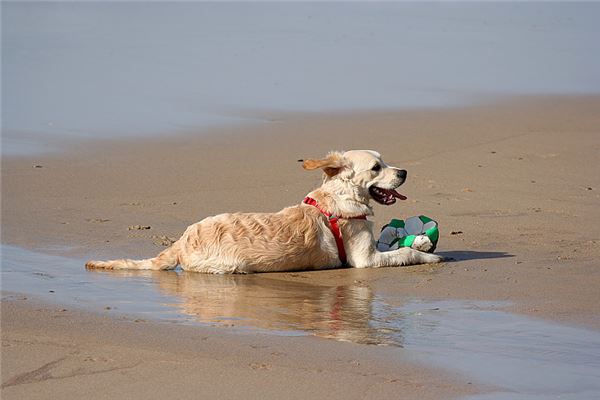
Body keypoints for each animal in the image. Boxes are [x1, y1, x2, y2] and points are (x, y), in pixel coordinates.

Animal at [85, 151, 440, 276]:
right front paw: (427, 255)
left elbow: (398, 244)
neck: (337, 199)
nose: (404, 171)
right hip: (230, 265)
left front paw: (422, 240)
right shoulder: (363, 259)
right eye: (377, 167)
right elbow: (402, 253)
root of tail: (182, 242)